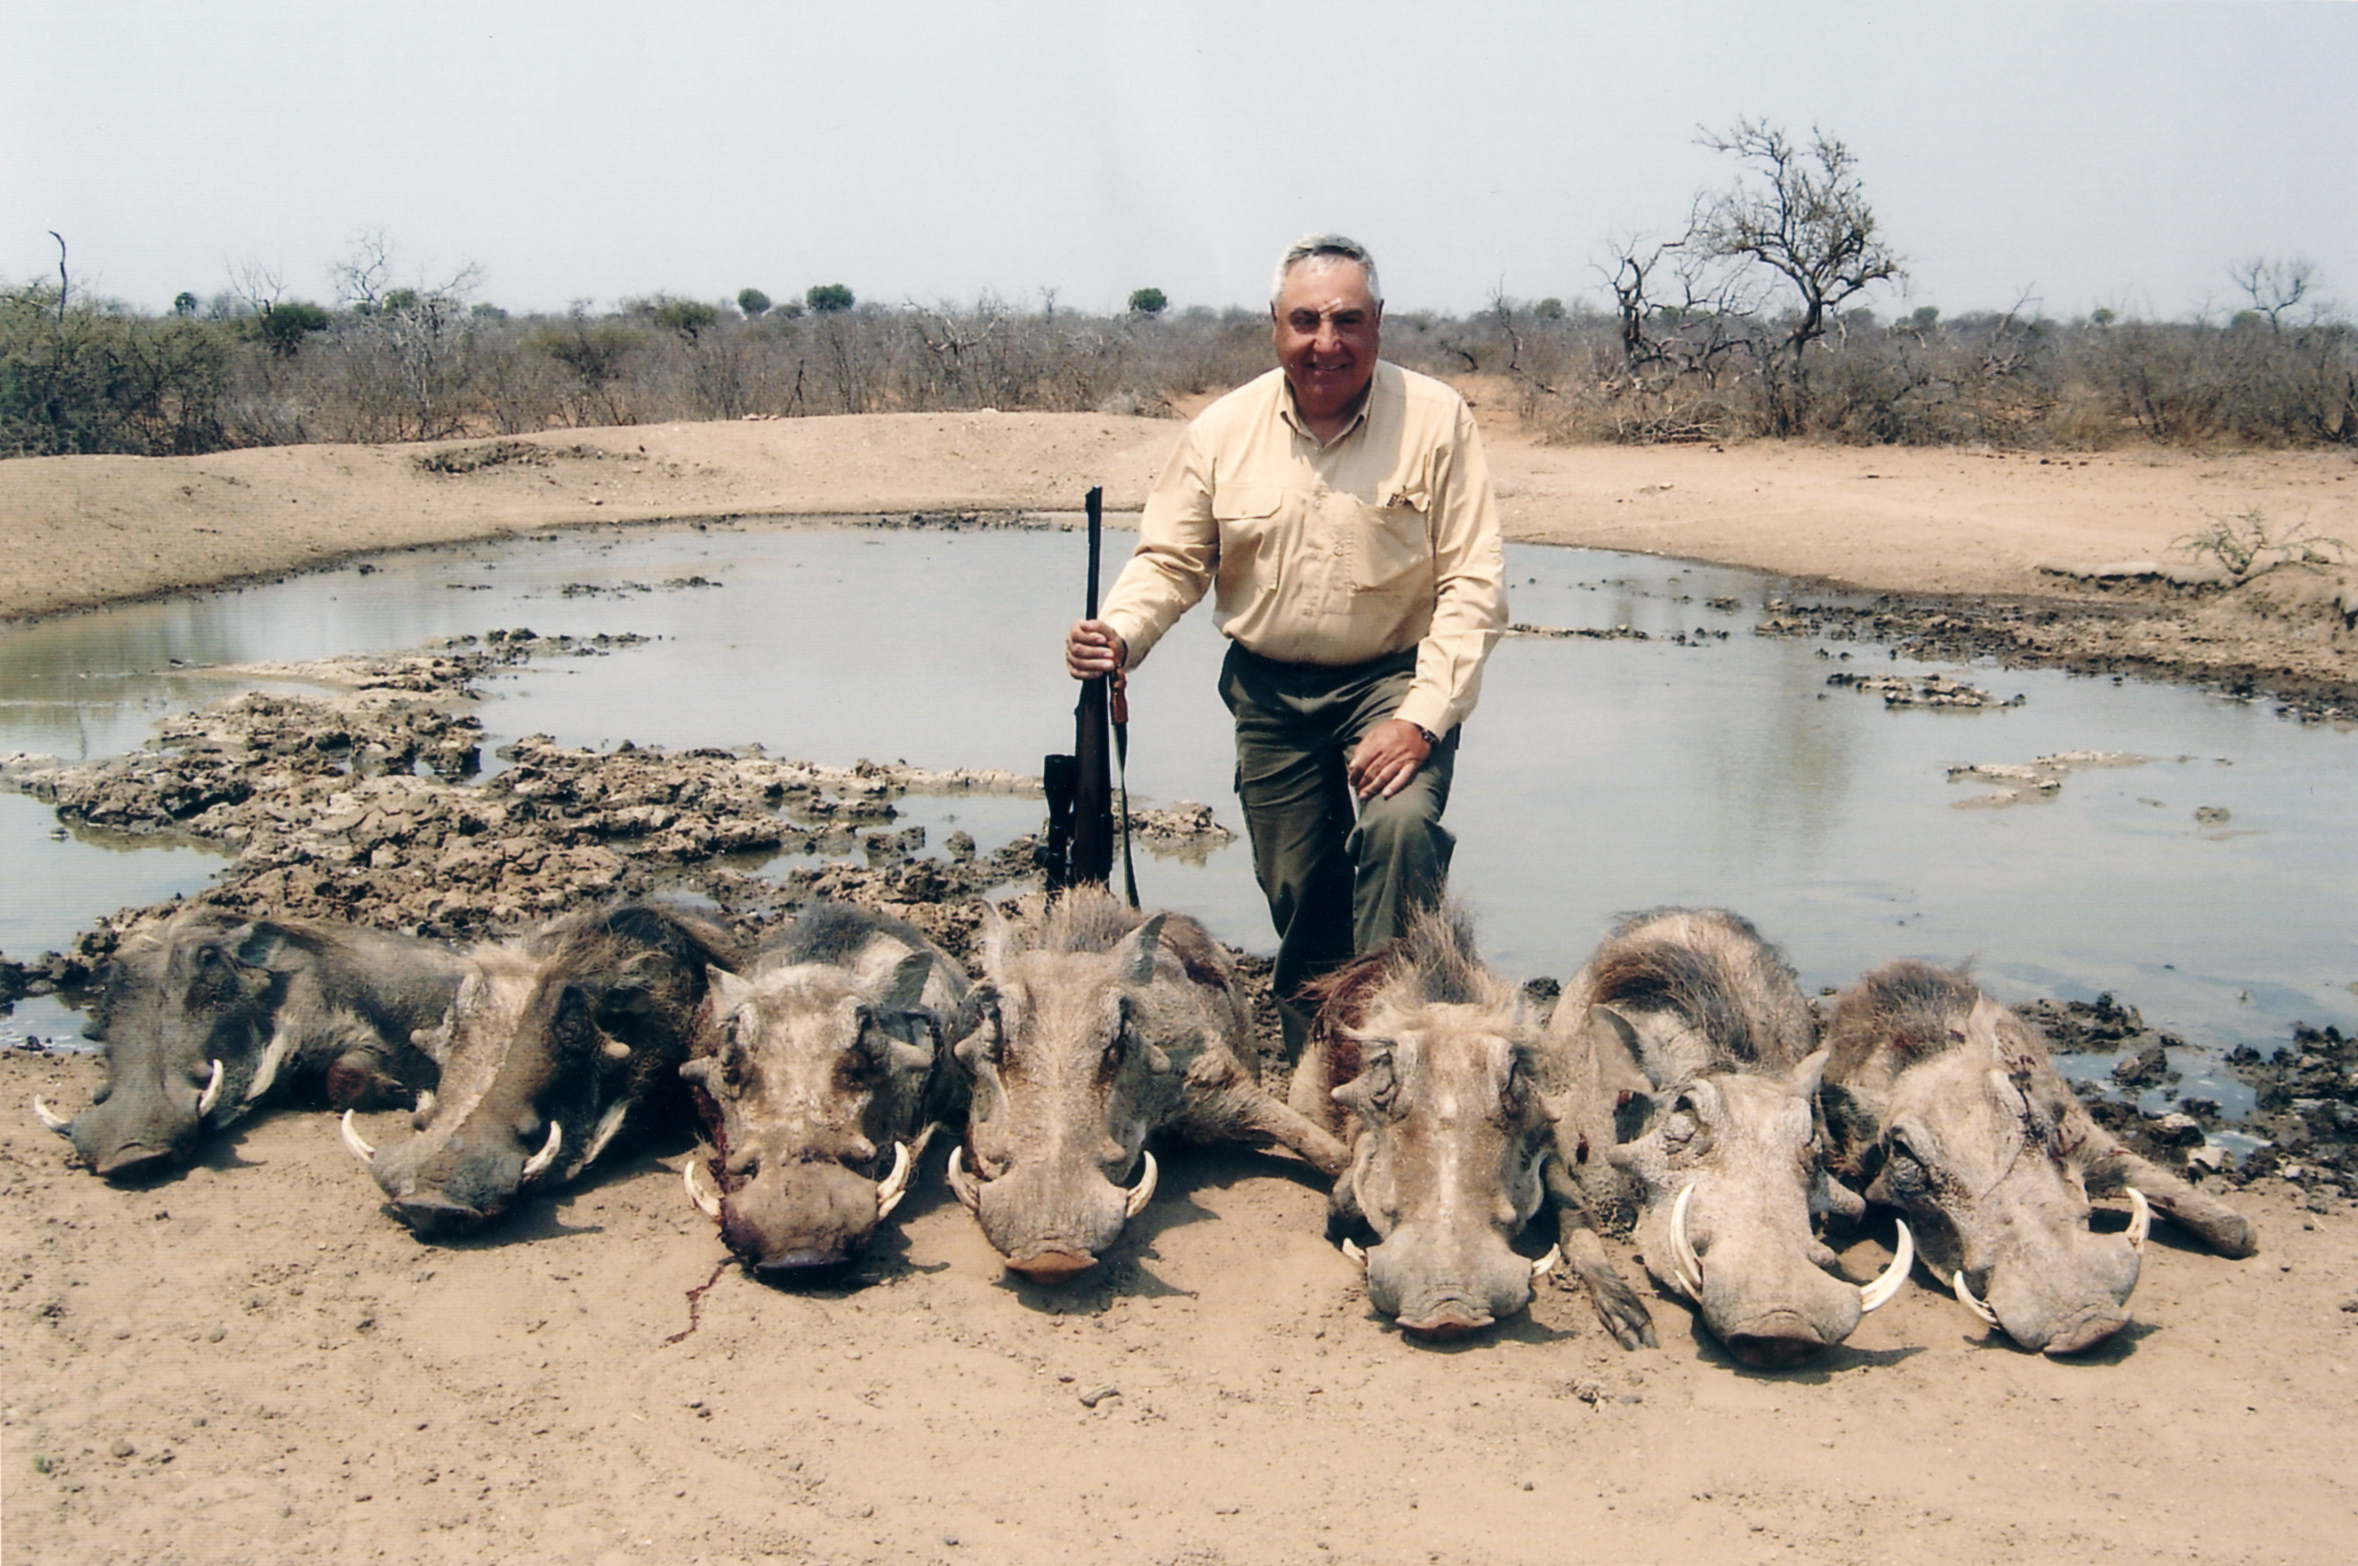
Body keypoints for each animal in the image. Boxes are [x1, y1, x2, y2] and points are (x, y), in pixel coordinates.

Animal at [34, 908, 464, 1180]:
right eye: (113, 975)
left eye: (208, 958)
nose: (131, 1151)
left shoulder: (354, 1030)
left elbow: (344, 1076)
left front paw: (407, 1092)